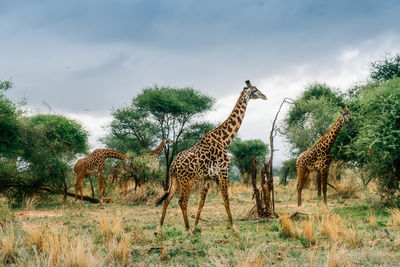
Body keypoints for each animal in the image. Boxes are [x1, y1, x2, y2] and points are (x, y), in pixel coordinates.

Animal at [155, 80, 268, 236]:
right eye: (255, 90)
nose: (265, 96)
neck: (224, 139)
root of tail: (173, 166)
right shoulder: (223, 171)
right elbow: (226, 200)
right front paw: (234, 228)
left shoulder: (207, 177)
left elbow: (201, 203)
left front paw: (196, 226)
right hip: (187, 180)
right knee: (181, 201)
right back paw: (187, 231)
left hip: (176, 180)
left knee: (167, 200)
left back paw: (159, 229)